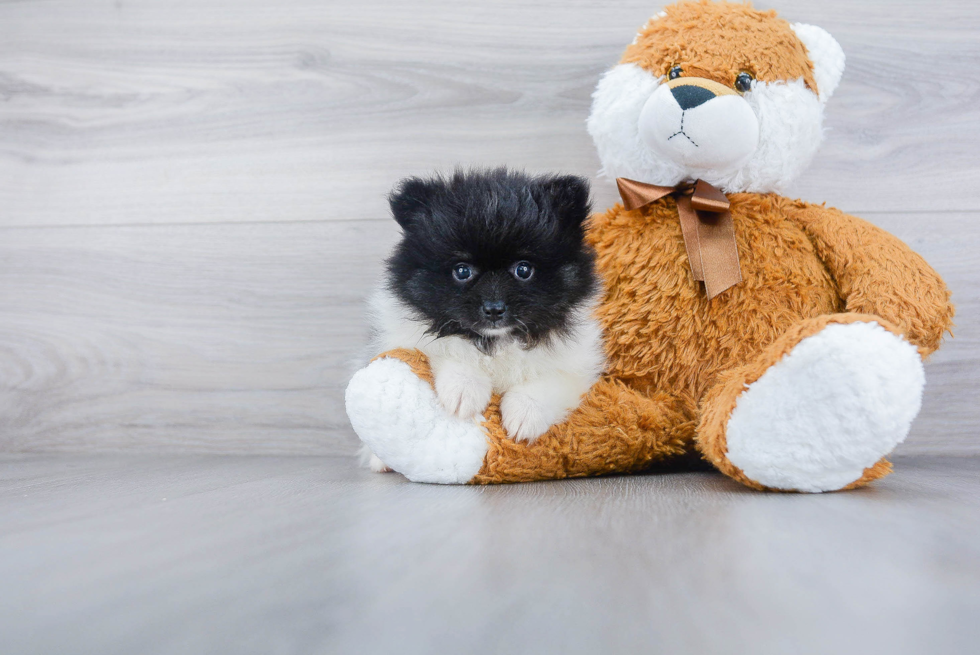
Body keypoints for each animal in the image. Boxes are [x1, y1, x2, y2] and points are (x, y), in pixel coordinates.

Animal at [362, 170, 604, 472]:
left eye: (523, 269)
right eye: (462, 271)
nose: (494, 309)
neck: (496, 341)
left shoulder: (576, 364)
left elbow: (551, 381)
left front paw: (524, 415)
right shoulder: (408, 336)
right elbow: (448, 347)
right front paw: (464, 389)